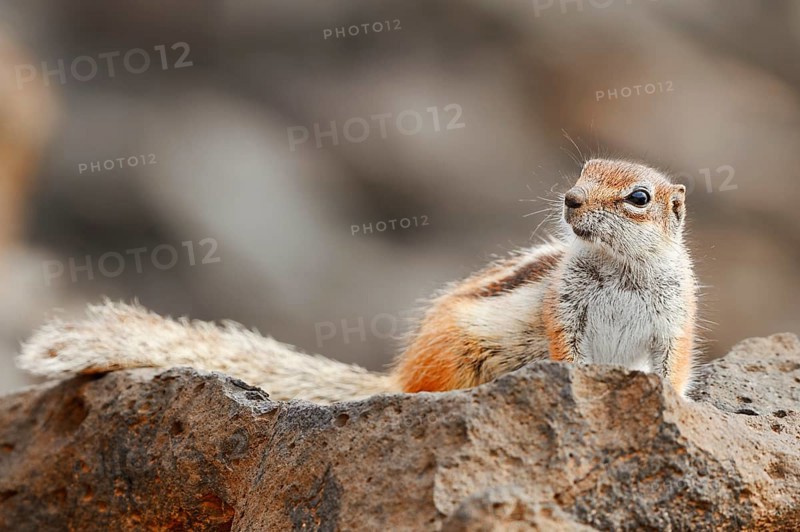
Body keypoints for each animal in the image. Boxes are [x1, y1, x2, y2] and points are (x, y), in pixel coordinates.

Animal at [17, 158, 698, 403]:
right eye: (582, 170)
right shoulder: (565, 307)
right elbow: (567, 350)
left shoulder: (675, 320)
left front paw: (671, 401)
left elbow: (672, 365)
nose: (571, 199)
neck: (621, 272)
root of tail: (398, 377)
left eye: (639, 197)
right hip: (462, 355)